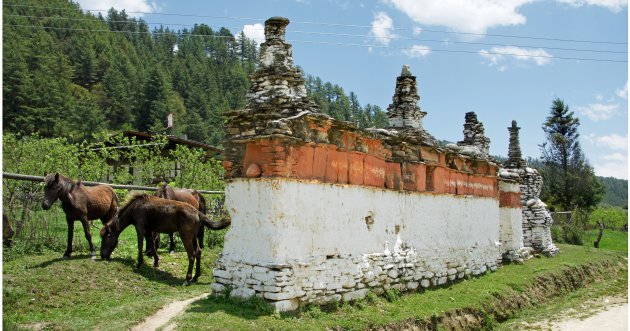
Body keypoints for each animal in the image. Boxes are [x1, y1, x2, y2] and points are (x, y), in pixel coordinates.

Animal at [101, 195, 232, 286]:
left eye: (105, 237)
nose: (102, 256)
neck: (135, 207)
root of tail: (198, 212)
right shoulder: (149, 229)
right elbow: (152, 244)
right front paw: (156, 261)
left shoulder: (140, 227)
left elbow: (140, 245)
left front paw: (139, 264)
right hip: (194, 237)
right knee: (198, 252)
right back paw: (195, 277)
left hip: (186, 236)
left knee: (191, 255)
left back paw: (187, 279)